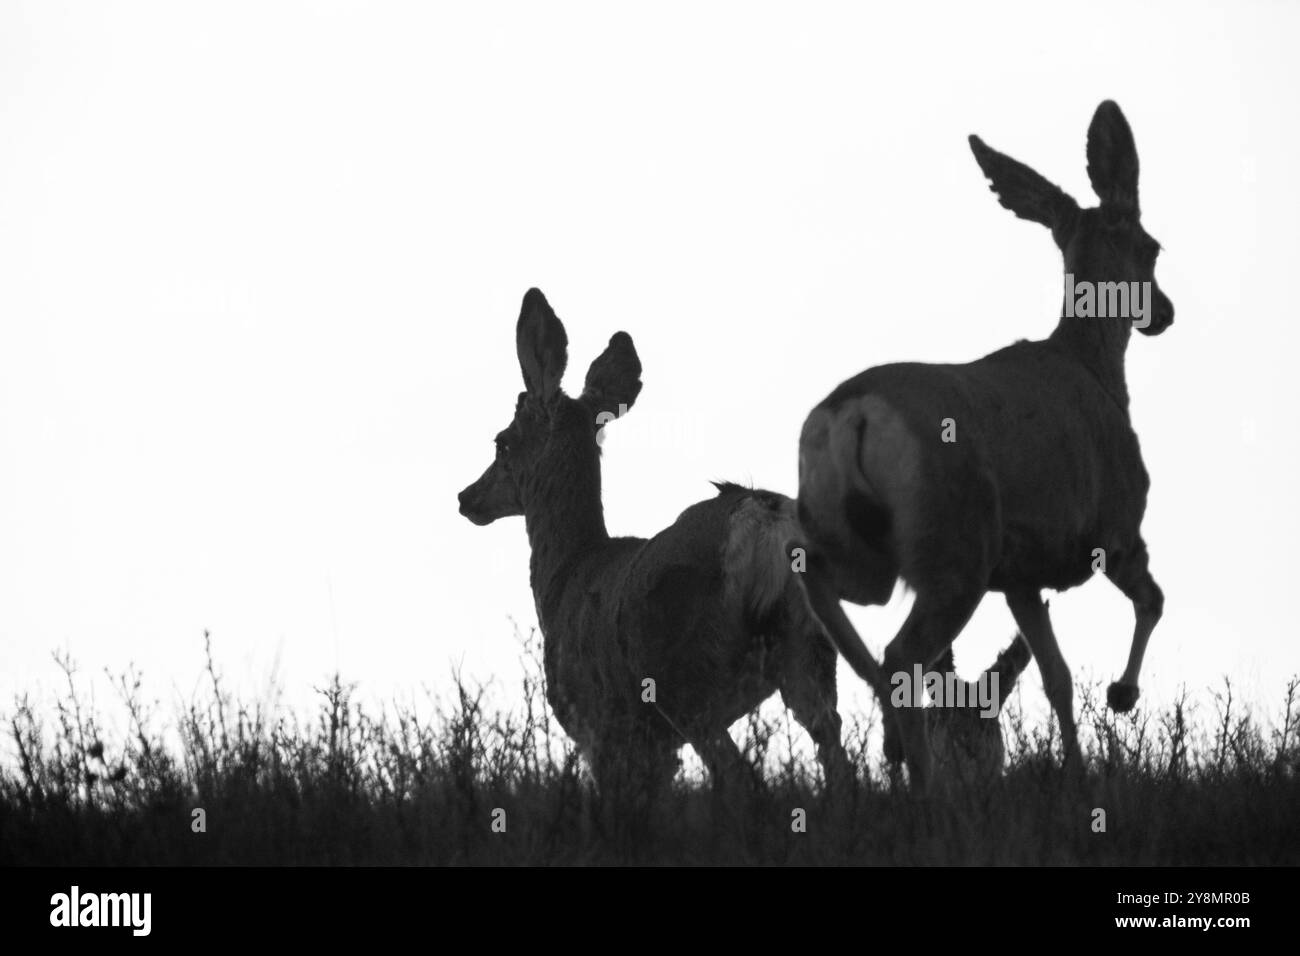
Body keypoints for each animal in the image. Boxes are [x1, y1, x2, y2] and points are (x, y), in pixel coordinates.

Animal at [457, 287, 852, 806]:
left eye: (501, 442)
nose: (466, 497)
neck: (565, 575)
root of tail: (759, 516)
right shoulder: (651, 742)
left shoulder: (601, 726)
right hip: (808, 649)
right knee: (835, 753)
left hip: (679, 675)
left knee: (740, 776)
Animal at [795, 102, 1175, 790]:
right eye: (1151, 246)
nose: (1163, 312)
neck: (1096, 369)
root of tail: (852, 415)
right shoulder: (1116, 531)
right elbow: (1153, 601)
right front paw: (1123, 694)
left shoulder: (1020, 574)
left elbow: (1056, 677)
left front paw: (1078, 775)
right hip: (956, 547)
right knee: (902, 655)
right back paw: (922, 784)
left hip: (864, 543)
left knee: (822, 587)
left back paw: (889, 736)